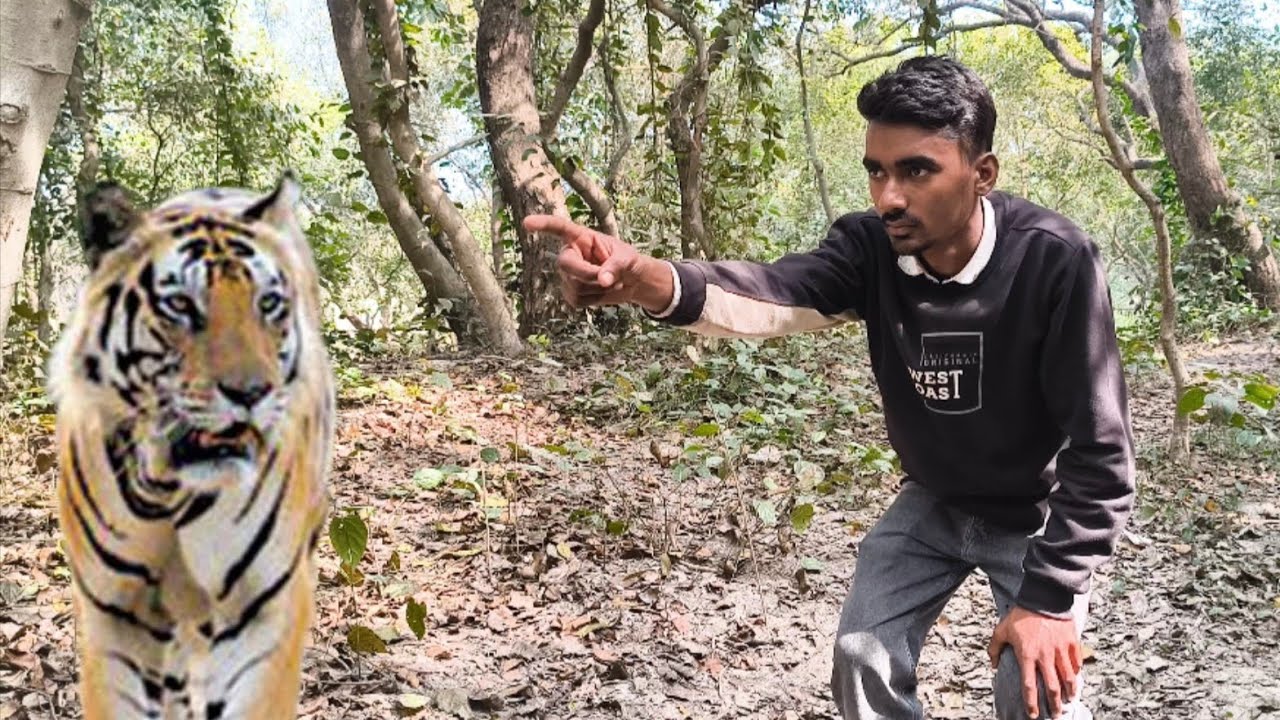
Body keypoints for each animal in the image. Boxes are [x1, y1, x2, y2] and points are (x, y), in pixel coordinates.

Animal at [47, 172, 335, 720]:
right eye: (180, 305)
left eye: (268, 304)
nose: (251, 392)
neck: (165, 489)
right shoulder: (112, 616)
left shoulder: (265, 611)